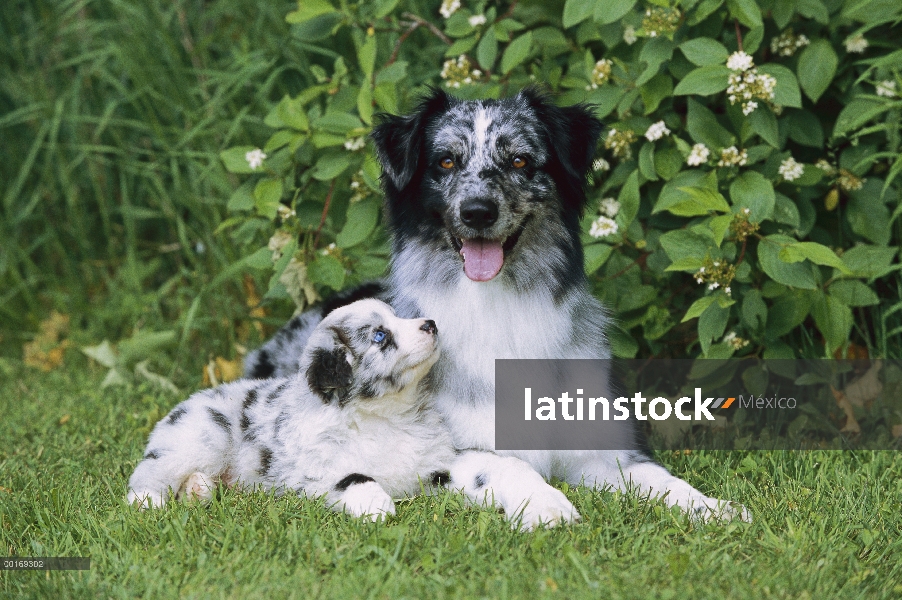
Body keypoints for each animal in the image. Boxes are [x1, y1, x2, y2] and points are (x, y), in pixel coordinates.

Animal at [126, 300, 452, 520]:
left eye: (398, 316)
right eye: (380, 336)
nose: (431, 324)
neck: (385, 415)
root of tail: (192, 398)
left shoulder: (434, 461)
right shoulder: (312, 472)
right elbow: (355, 477)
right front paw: (377, 505)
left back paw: (198, 489)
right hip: (200, 440)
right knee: (152, 470)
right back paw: (145, 500)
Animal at [245, 86, 748, 528]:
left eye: (520, 160)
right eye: (446, 160)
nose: (478, 211)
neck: (499, 305)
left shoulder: (601, 449)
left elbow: (660, 479)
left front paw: (711, 507)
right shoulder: (445, 452)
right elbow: (508, 465)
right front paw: (548, 504)